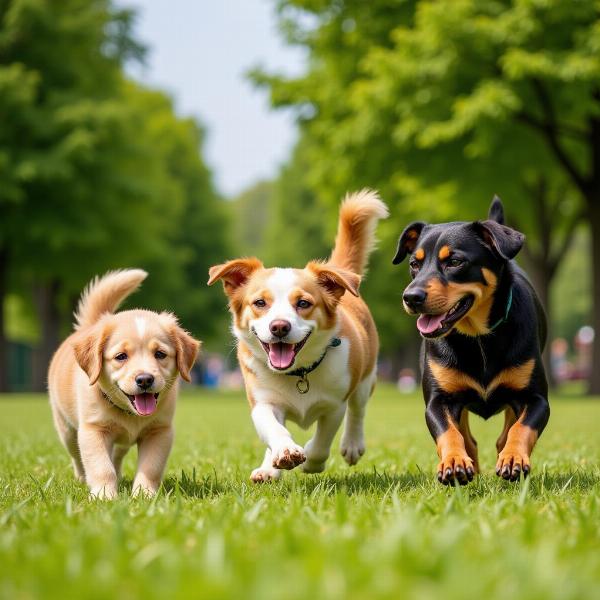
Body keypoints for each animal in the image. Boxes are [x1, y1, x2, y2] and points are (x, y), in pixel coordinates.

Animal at [47, 270, 199, 500]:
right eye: (121, 356)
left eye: (160, 354)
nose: (144, 379)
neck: (129, 415)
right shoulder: (93, 430)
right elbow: (101, 467)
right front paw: (104, 496)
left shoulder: (160, 431)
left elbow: (150, 467)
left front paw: (144, 495)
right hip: (66, 429)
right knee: (77, 456)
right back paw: (82, 478)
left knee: (117, 455)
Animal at [209, 190, 390, 480]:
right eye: (260, 303)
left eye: (303, 303)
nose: (279, 327)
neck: (298, 374)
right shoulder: (262, 401)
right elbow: (274, 429)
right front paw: (283, 454)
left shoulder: (334, 405)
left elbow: (322, 441)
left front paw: (311, 461)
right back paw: (268, 468)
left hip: (366, 377)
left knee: (358, 411)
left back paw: (352, 443)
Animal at [392, 199, 552, 486]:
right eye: (414, 264)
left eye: (455, 261)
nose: (411, 297)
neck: (478, 338)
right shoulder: (438, 401)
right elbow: (450, 433)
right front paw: (455, 462)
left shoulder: (536, 399)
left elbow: (521, 428)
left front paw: (513, 458)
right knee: (467, 435)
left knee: (507, 428)